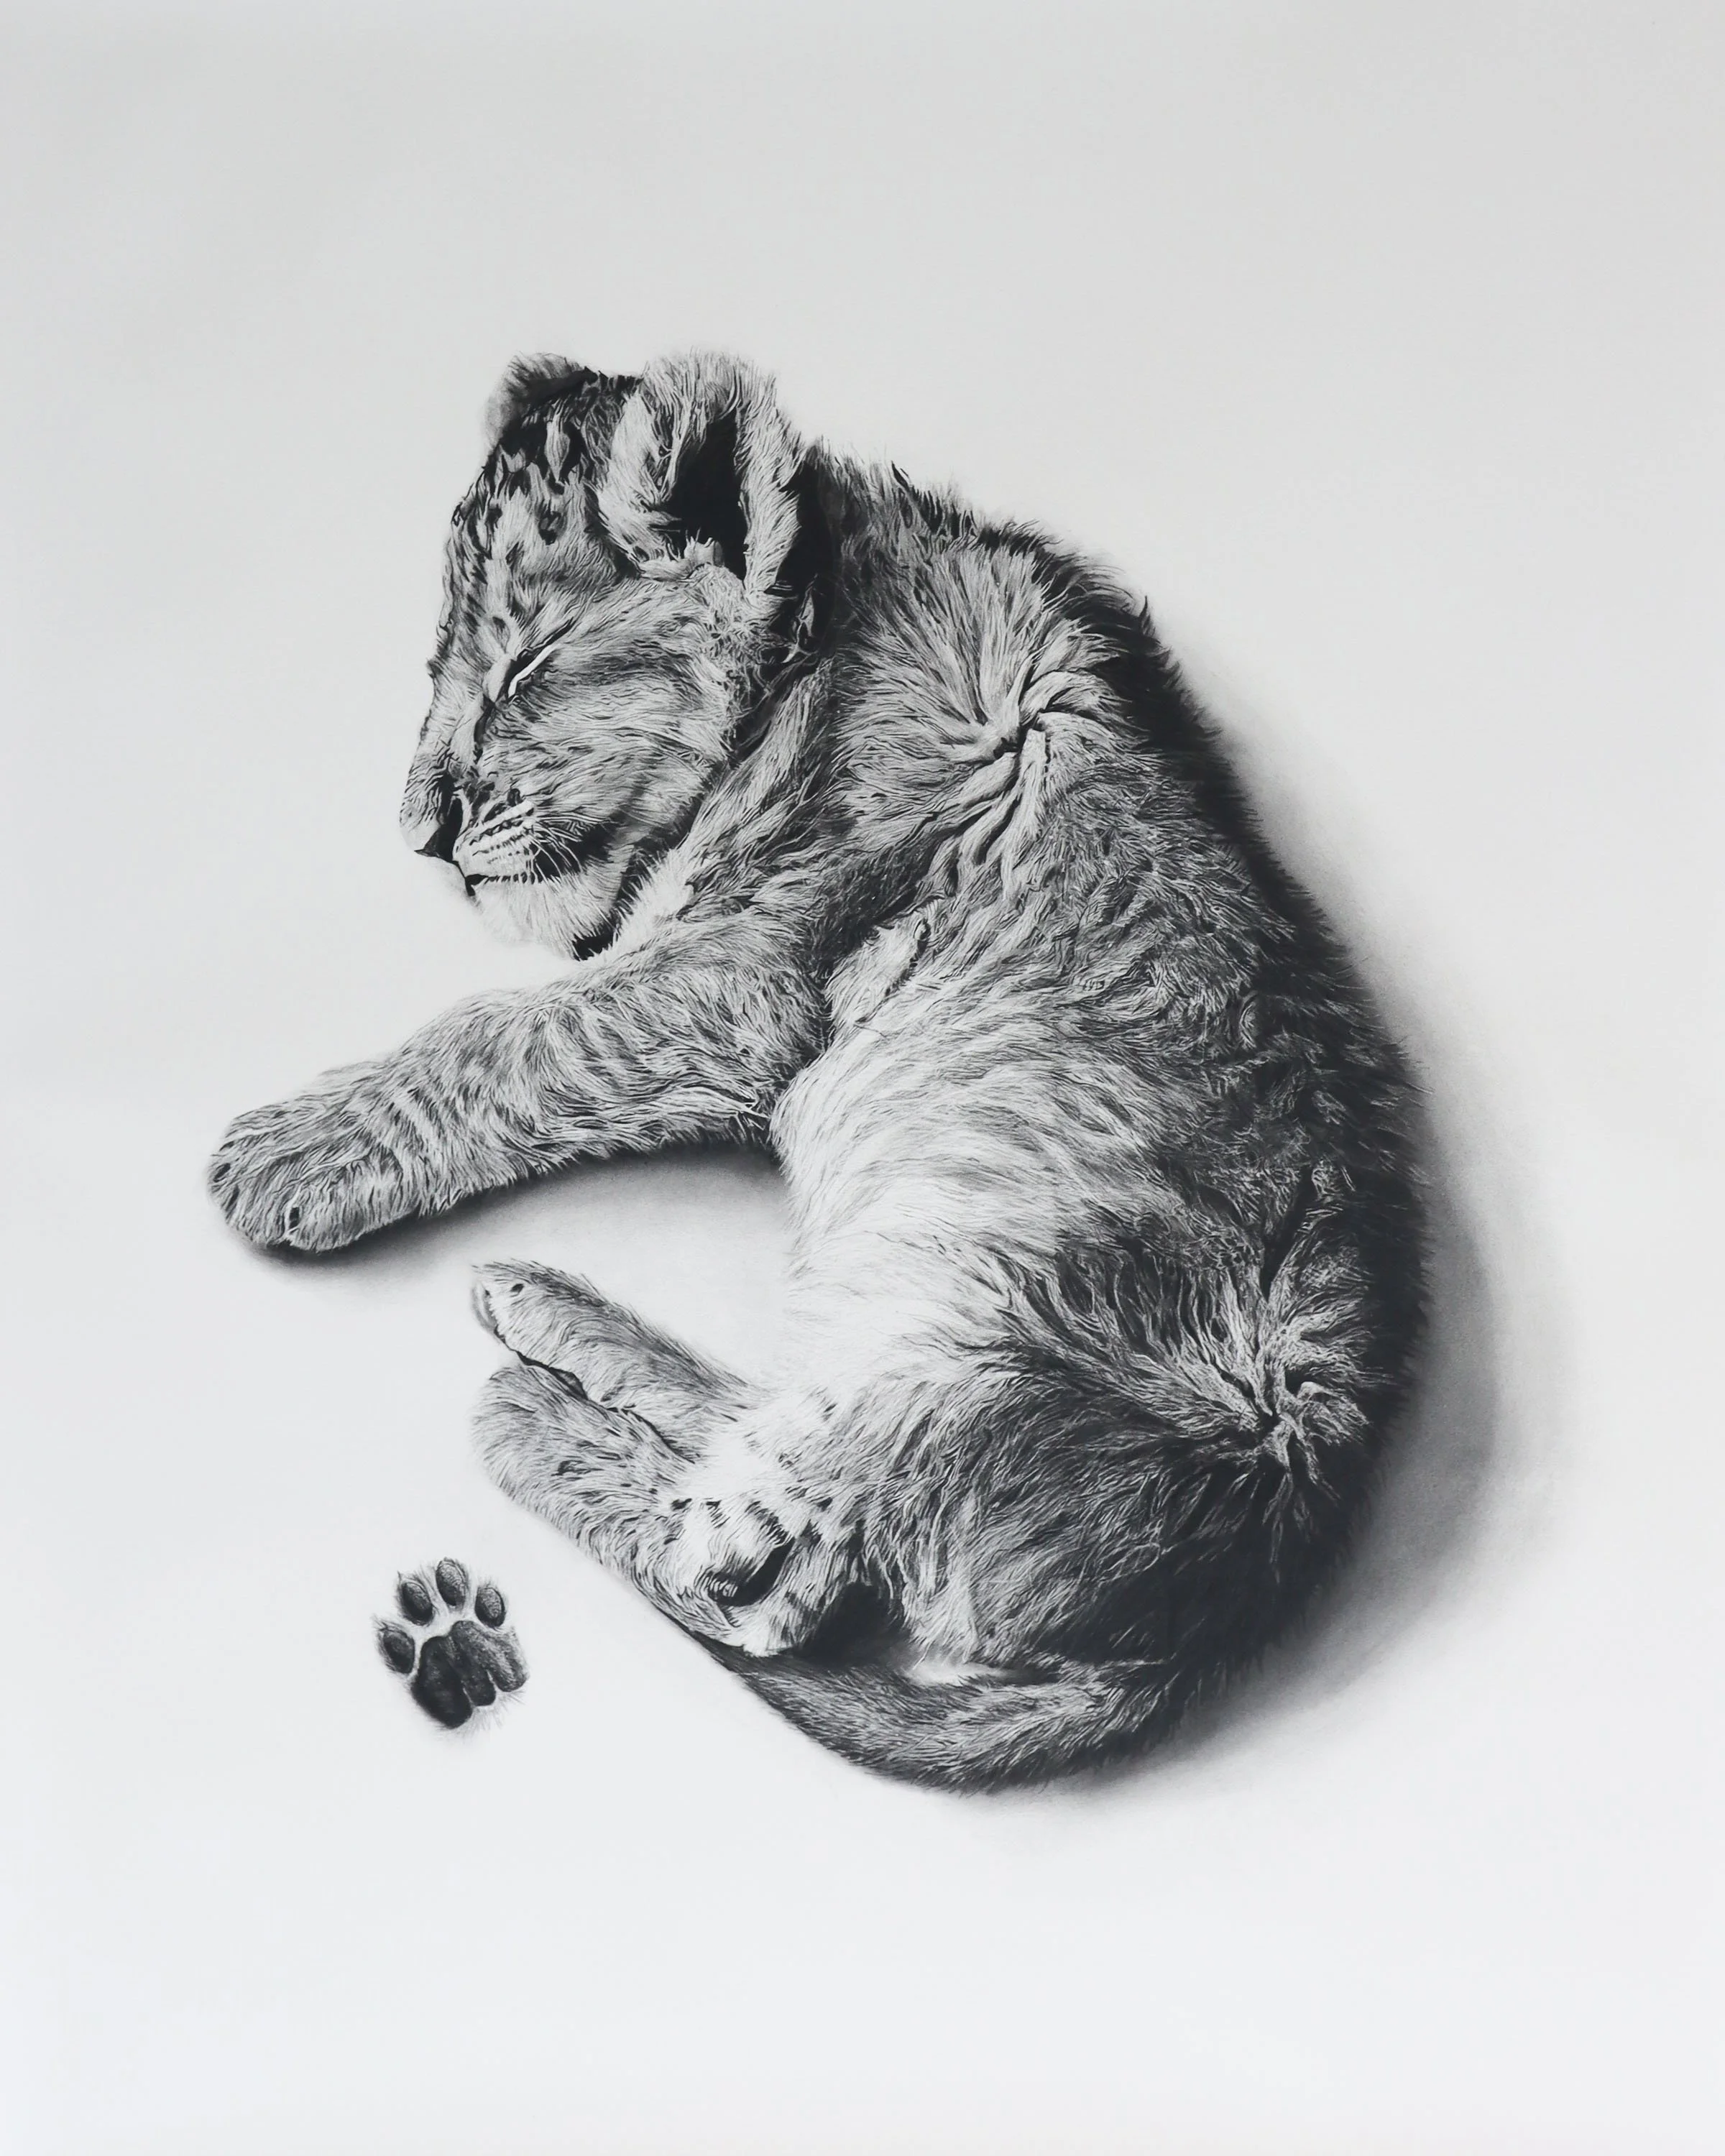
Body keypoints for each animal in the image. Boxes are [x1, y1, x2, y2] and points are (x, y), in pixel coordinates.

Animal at [209, 351, 1425, 1788]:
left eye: (531, 664)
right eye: (438, 664)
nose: (418, 836)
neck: (825, 648)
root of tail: (1244, 1583)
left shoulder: (745, 980)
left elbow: (512, 1034)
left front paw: (287, 1156)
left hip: (947, 1366)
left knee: (759, 1593)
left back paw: (515, 1456)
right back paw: (543, 1309)